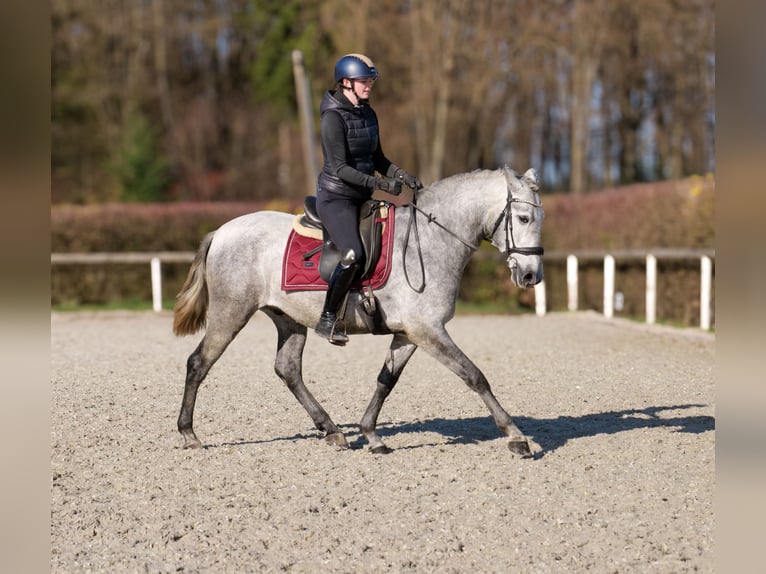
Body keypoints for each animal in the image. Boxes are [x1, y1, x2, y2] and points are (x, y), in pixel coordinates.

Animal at [173, 166, 545, 456]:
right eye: (523, 218)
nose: (531, 276)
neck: (430, 240)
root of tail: (222, 231)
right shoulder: (427, 329)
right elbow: (474, 375)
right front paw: (516, 437)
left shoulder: (409, 333)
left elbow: (385, 381)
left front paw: (371, 435)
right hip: (231, 313)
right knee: (199, 362)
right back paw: (189, 434)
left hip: (289, 319)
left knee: (288, 369)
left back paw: (332, 430)